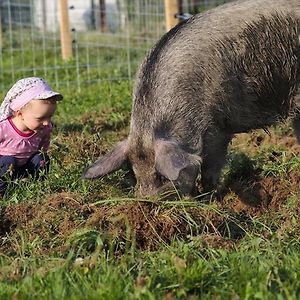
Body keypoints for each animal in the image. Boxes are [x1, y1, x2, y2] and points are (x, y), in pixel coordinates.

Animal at [82, 0, 300, 197]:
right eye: (134, 174)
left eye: (161, 176)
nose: (147, 202)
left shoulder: (217, 129)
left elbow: (210, 168)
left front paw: (209, 198)